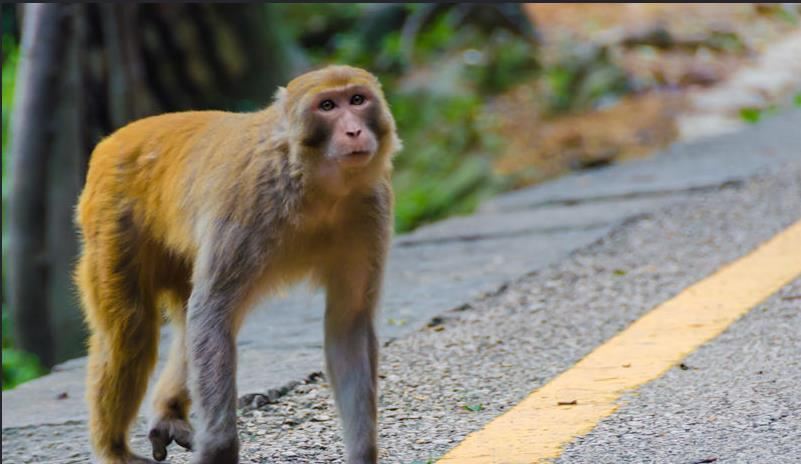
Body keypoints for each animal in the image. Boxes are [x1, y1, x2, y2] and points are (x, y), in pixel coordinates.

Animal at [74, 65, 400, 464]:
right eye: (327, 106)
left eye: (357, 100)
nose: (353, 130)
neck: (314, 183)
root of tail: (111, 141)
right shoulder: (247, 203)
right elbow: (212, 312)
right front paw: (219, 447)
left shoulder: (372, 207)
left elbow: (348, 322)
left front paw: (363, 452)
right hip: (109, 221)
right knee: (131, 330)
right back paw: (113, 448)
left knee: (188, 322)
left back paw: (167, 413)